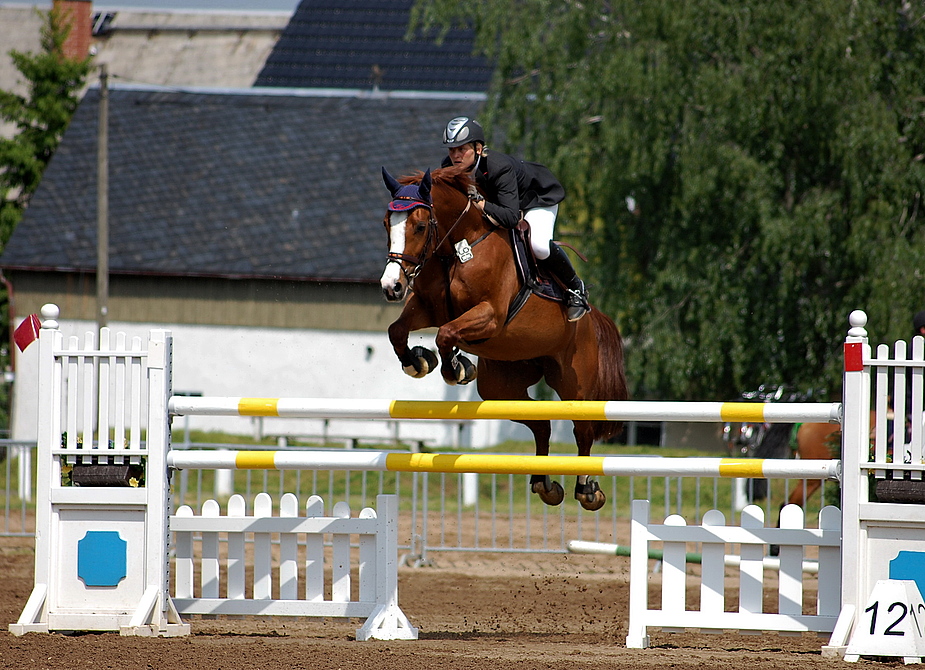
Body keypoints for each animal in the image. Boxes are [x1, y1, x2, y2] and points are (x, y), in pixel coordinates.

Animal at [378, 165, 628, 512]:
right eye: (387, 224)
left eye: (420, 226)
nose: (392, 287)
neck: (457, 248)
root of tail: (593, 318)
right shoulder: (428, 307)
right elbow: (398, 331)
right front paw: (419, 362)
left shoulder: (490, 316)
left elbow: (446, 334)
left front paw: (455, 368)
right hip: (501, 386)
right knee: (541, 423)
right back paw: (544, 484)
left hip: (573, 382)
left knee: (583, 429)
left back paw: (586, 490)